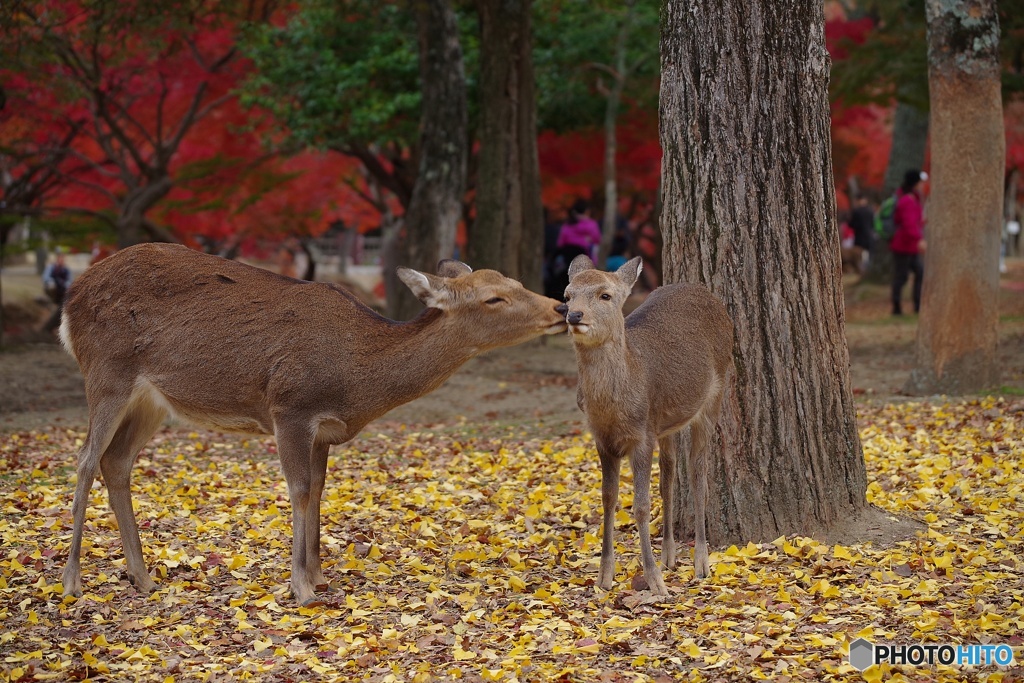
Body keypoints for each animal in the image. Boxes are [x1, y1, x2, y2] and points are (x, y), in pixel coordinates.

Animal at [61, 244, 569, 602]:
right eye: (493, 298)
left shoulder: (323, 428)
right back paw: (71, 583)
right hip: (106, 371)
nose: (561, 308)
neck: (357, 379)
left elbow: (321, 489)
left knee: (116, 462)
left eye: (514, 280)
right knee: (85, 460)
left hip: (152, 401)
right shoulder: (290, 407)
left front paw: (319, 575)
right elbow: (300, 489)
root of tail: (70, 300)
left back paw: (142, 577)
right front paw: (300, 588)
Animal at [565, 253, 733, 593]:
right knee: (669, 472)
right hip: (666, 424)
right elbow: (608, 498)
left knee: (698, 473)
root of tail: (706, 292)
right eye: (567, 295)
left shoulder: (642, 434)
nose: (574, 315)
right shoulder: (602, 438)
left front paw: (655, 581)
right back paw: (669, 554)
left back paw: (701, 562)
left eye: (605, 295)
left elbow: (641, 505)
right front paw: (604, 576)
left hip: (714, 395)